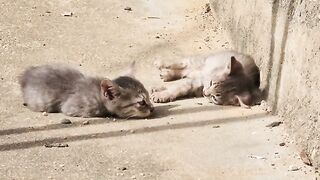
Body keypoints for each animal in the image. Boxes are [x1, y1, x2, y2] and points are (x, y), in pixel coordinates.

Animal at [18, 63, 154, 118]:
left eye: (149, 97)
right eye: (141, 102)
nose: (152, 108)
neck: (98, 94)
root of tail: (26, 75)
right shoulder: (74, 107)